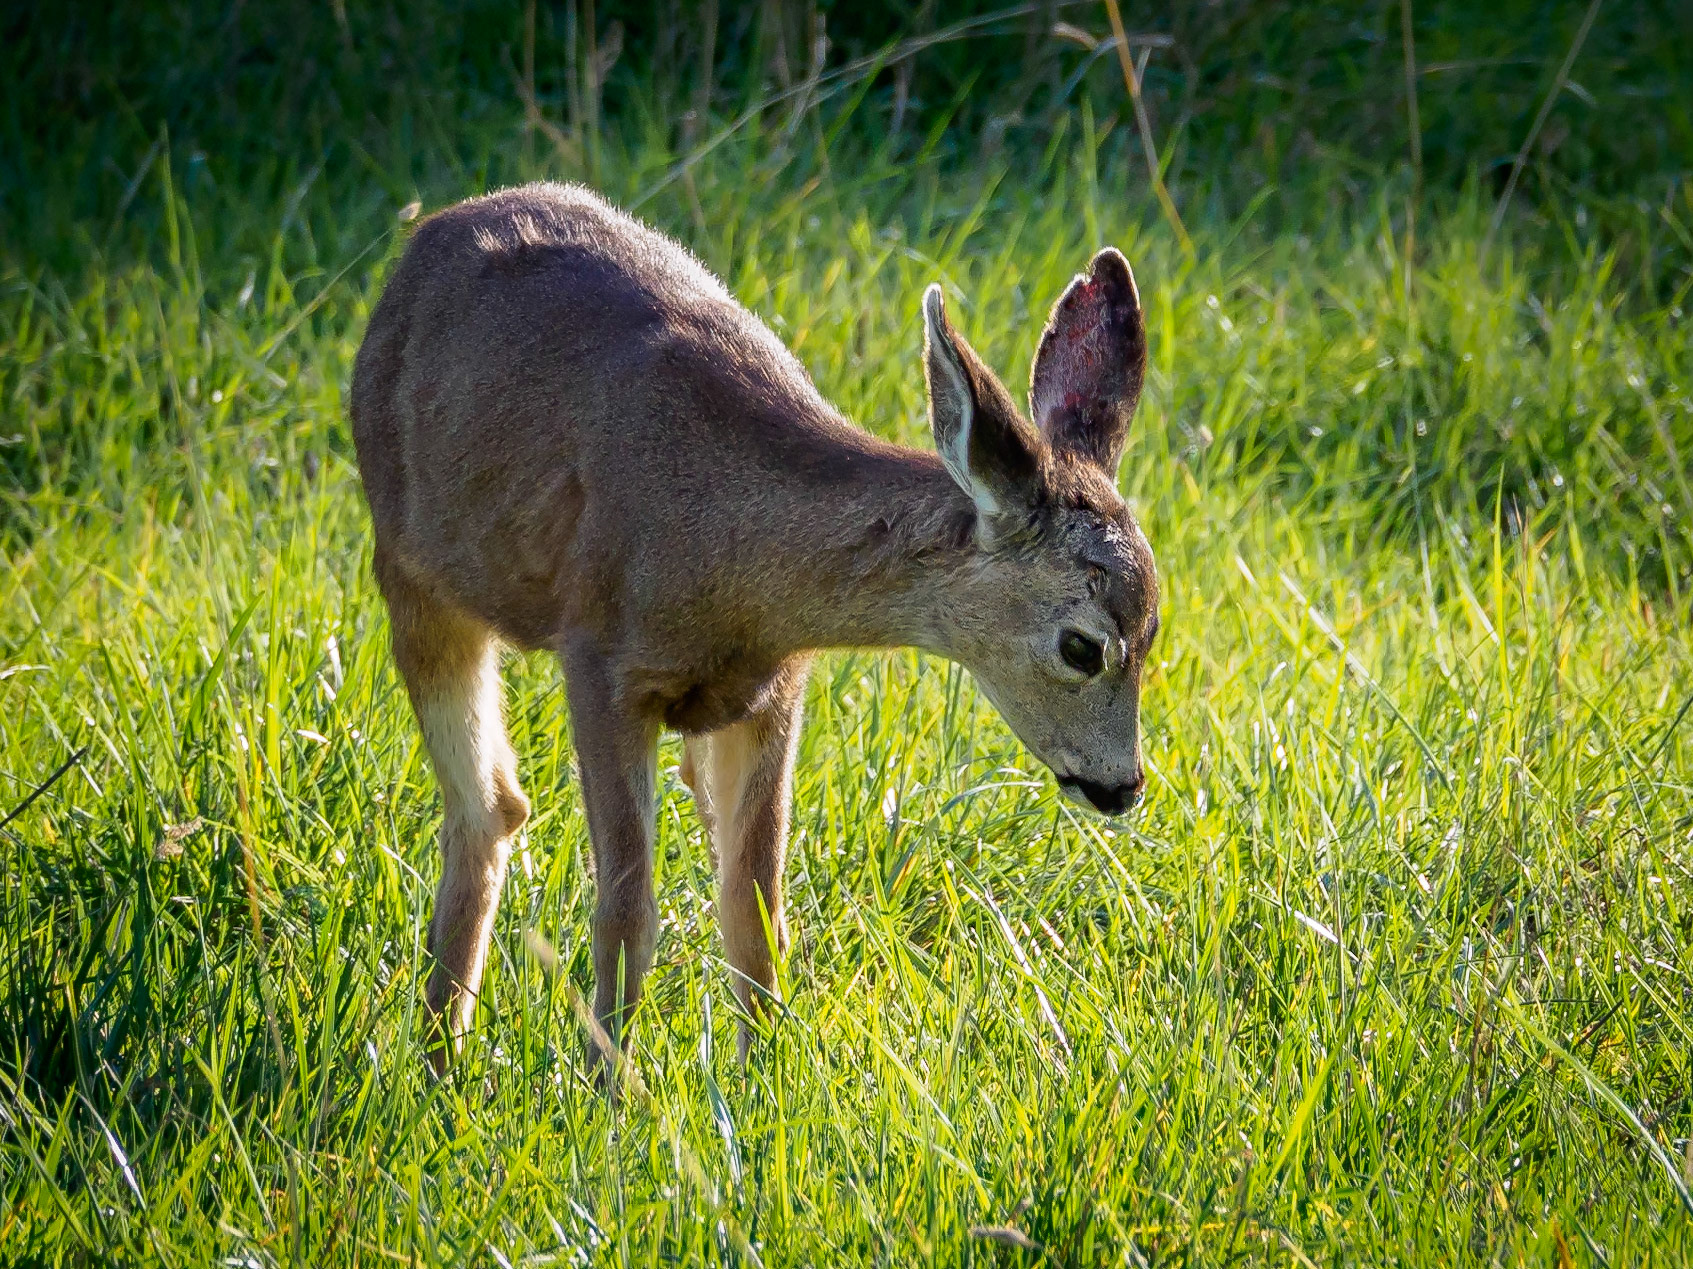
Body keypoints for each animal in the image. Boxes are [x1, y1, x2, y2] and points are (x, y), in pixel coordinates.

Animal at [349, 182, 1158, 1072]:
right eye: (1082, 646)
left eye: (1155, 629)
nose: (1121, 785)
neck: (735, 560)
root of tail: (431, 237)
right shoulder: (600, 658)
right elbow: (628, 907)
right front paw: (608, 1084)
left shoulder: (779, 686)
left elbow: (755, 904)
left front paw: (761, 1071)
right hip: (410, 571)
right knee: (487, 805)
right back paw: (438, 1055)